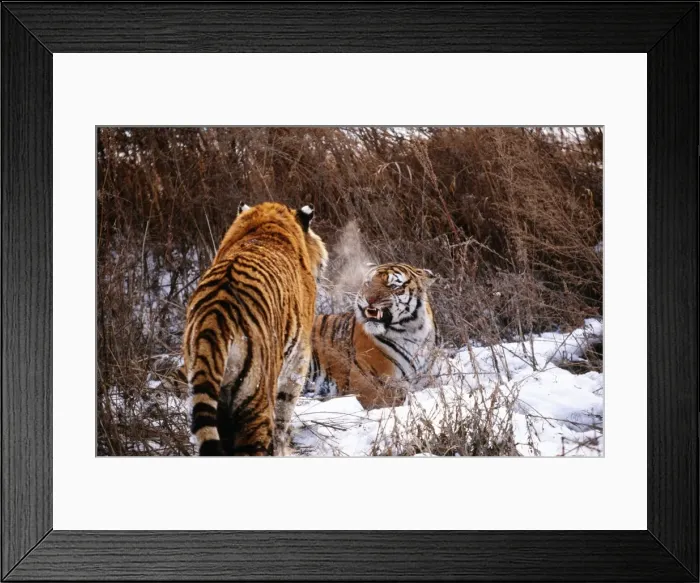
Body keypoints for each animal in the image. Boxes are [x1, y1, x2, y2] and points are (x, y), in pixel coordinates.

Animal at [306, 263, 437, 409]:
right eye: (368, 283)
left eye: (392, 286)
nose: (369, 299)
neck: (412, 332)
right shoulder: (365, 384)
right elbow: (396, 397)